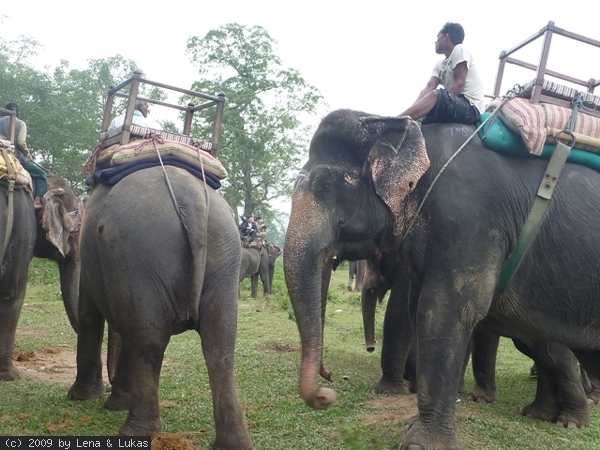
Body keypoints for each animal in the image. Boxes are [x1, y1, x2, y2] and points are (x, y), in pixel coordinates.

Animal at [67, 167, 251, 448]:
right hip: (225, 253)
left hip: (140, 253)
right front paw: (115, 402)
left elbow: (90, 315)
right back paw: (233, 443)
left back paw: (136, 432)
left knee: (149, 340)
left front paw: (83, 397)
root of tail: (192, 199)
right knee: (219, 342)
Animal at [284, 110, 600, 450]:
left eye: (325, 185)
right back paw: (541, 415)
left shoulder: (469, 217)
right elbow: (416, 309)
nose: (327, 388)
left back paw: (570, 422)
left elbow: (442, 311)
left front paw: (418, 440)